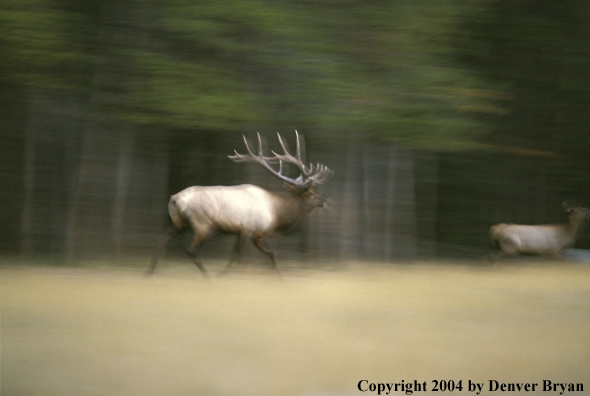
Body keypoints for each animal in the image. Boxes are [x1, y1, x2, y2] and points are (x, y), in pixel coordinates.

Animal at [146, 131, 332, 276]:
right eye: (311, 193)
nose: (325, 198)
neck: (276, 213)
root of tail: (175, 198)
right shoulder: (248, 230)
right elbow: (237, 256)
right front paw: (223, 274)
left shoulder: (258, 234)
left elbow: (272, 253)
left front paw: (280, 278)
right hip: (202, 224)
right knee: (190, 248)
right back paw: (208, 276)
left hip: (178, 222)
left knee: (161, 239)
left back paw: (149, 272)